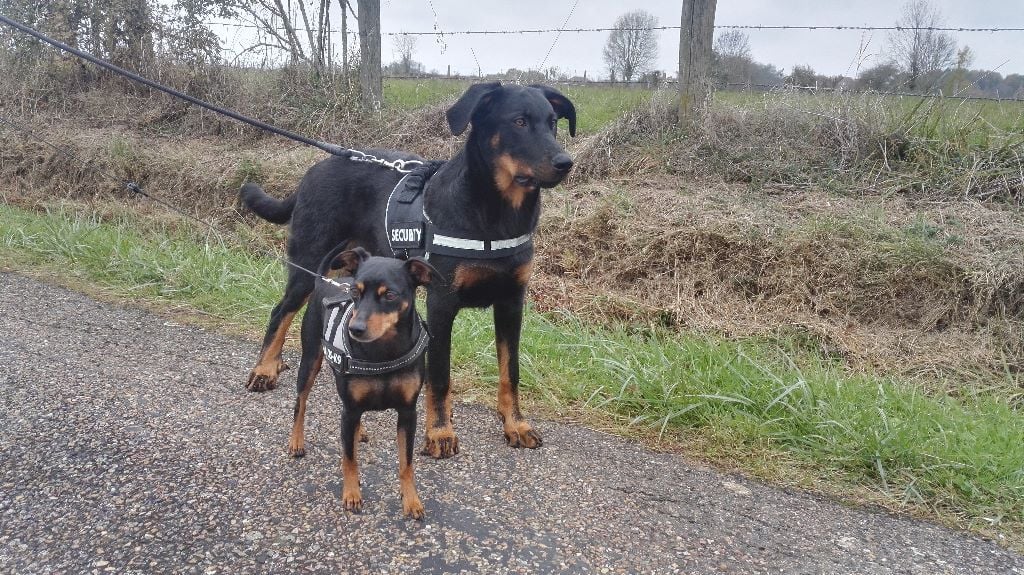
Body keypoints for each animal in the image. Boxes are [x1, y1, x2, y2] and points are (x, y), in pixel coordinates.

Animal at [239, 81, 577, 456]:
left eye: (553, 123)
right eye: (519, 122)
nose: (565, 163)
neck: (496, 216)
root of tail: (314, 169)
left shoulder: (511, 302)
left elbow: (510, 371)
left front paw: (515, 424)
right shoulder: (442, 303)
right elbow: (440, 376)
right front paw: (440, 432)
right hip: (308, 264)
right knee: (280, 311)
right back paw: (265, 368)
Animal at [296, 243, 440, 517]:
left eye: (390, 295)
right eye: (355, 291)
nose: (356, 329)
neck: (384, 352)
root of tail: (323, 280)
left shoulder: (408, 413)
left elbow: (406, 463)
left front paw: (411, 500)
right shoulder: (350, 409)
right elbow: (349, 458)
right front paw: (352, 494)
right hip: (309, 362)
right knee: (300, 404)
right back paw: (296, 442)